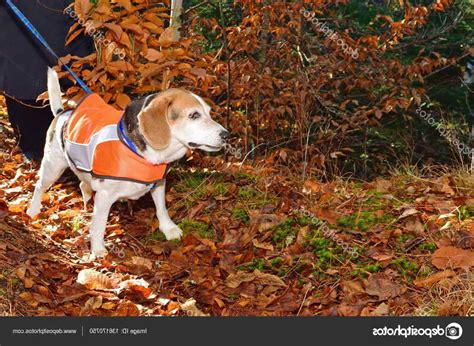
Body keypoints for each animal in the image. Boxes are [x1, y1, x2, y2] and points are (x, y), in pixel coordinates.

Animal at [26, 68, 230, 256]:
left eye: (209, 113)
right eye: (194, 115)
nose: (226, 135)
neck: (143, 154)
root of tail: (63, 113)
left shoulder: (158, 183)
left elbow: (161, 208)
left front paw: (168, 228)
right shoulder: (105, 195)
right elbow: (99, 224)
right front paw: (98, 250)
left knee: (83, 185)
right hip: (53, 167)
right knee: (39, 186)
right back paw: (32, 211)